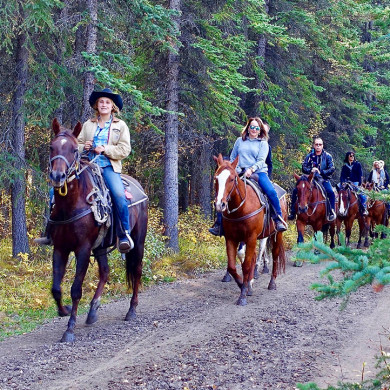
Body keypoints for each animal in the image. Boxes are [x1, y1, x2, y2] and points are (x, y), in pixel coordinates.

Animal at [47, 119, 148, 342]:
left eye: (73, 149)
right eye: (52, 147)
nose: (57, 176)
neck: (71, 205)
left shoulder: (83, 249)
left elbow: (76, 289)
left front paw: (69, 329)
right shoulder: (60, 248)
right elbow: (56, 288)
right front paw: (64, 310)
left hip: (138, 241)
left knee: (136, 270)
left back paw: (132, 310)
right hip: (101, 246)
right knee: (105, 272)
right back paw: (93, 311)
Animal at [213, 154, 286, 306]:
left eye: (232, 179)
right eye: (216, 178)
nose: (219, 204)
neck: (241, 207)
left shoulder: (251, 237)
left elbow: (246, 265)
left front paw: (243, 295)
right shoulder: (232, 238)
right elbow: (232, 266)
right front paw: (244, 285)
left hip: (277, 234)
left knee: (275, 255)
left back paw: (272, 283)